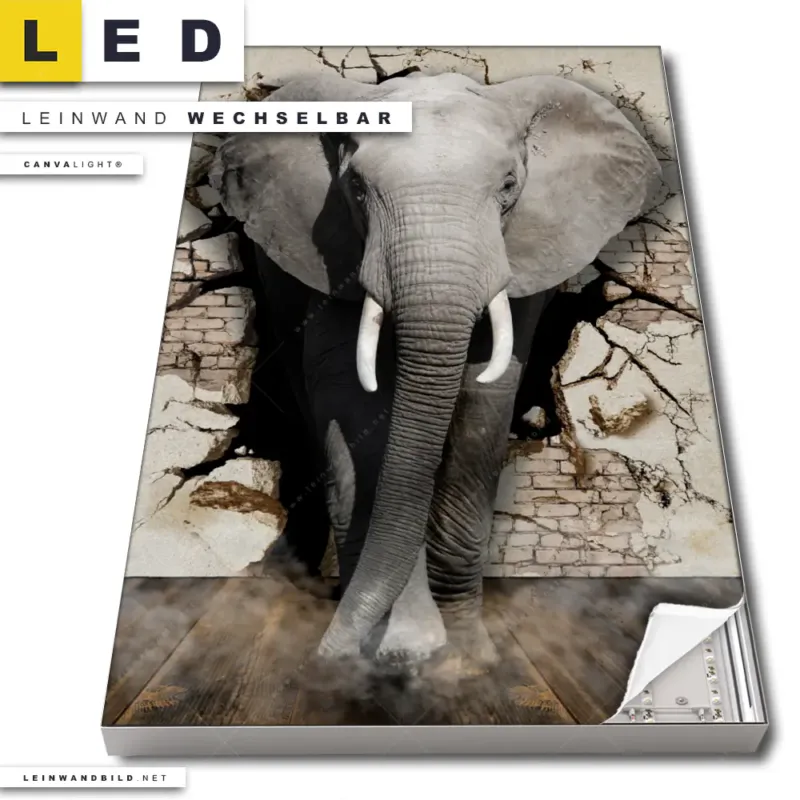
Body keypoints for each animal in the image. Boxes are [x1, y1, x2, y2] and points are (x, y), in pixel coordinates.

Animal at [209, 70, 661, 670]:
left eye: (509, 186)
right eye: (356, 190)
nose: (325, 656)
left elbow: (484, 397)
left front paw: (464, 659)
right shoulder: (330, 254)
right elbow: (354, 403)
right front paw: (403, 647)